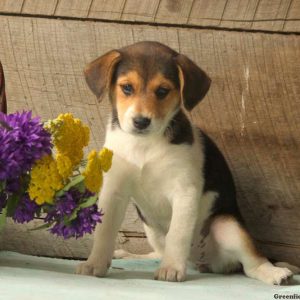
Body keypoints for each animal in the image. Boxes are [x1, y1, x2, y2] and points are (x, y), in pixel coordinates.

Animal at [77, 41, 298, 284]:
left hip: (227, 225)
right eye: (126, 88)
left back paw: (275, 272)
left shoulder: (184, 191)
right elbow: (104, 232)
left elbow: (178, 234)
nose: (141, 122)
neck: (145, 145)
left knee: (253, 264)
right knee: (159, 251)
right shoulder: (114, 191)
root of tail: (205, 261)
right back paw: (129, 255)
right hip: (152, 230)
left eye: (162, 91)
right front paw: (95, 264)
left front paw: (171, 268)